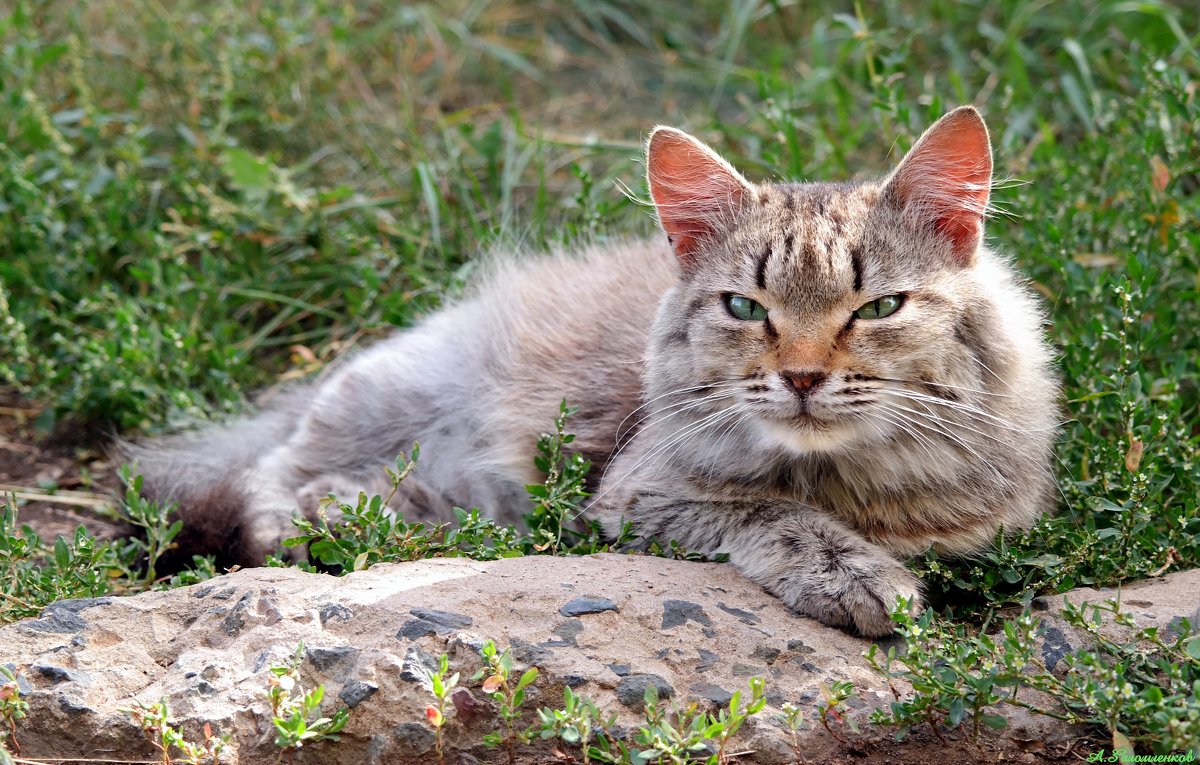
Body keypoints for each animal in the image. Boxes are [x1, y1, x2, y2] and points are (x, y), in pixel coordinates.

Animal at [124, 106, 1060, 633]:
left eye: (878, 308)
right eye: (744, 308)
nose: (799, 377)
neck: (853, 480)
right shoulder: (633, 495)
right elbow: (776, 513)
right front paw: (855, 574)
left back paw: (371, 517)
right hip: (382, 393)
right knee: (265, 483)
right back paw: (323, 521)